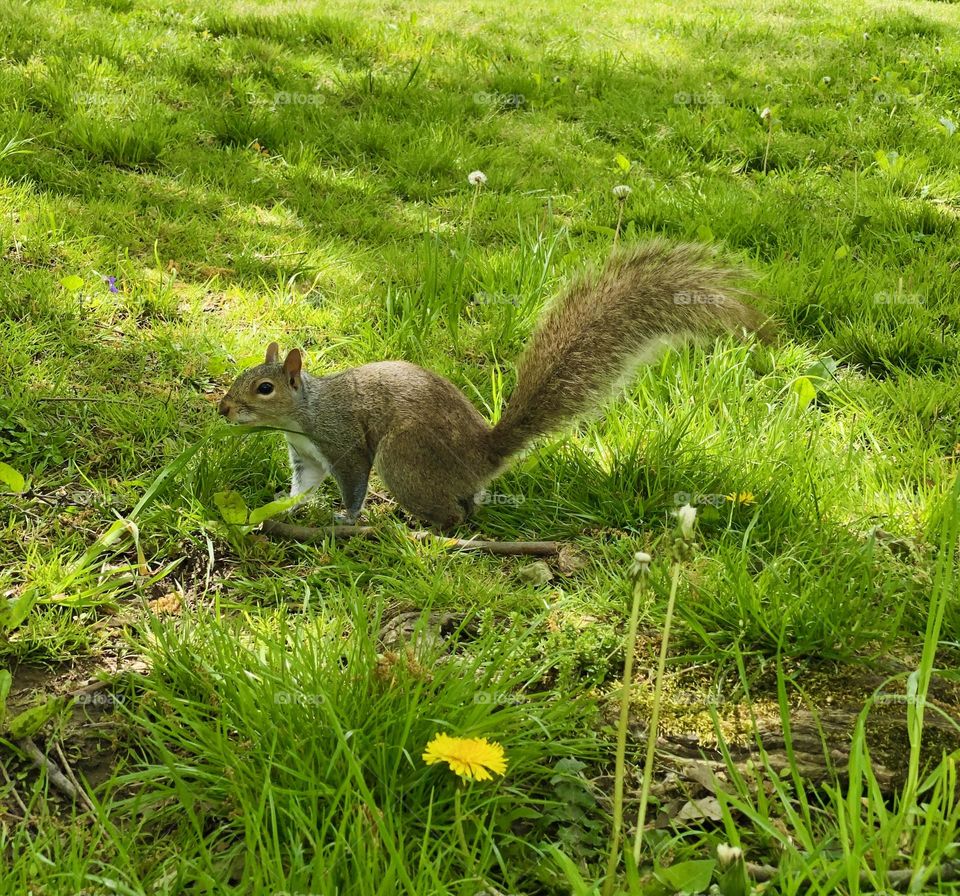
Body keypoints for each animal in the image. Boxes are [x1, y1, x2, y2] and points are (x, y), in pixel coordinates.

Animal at [219, 242, 772, 528]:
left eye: (264, 388)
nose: (223, 410)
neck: (304, 415)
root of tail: (482, 456)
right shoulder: (307, 456)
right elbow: (301, 487)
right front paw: (278, 507)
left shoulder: (343, 440)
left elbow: (353, 482)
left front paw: (347, 518)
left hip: (405, 457)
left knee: (453, 515)